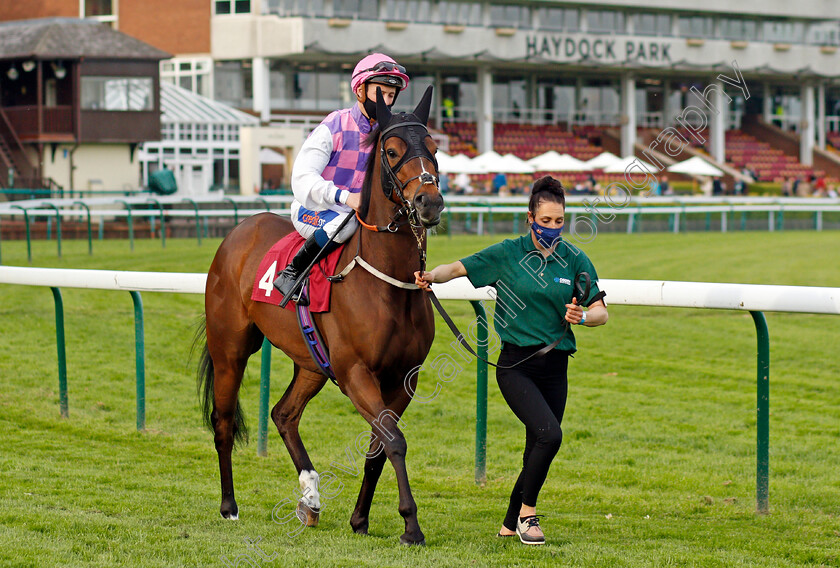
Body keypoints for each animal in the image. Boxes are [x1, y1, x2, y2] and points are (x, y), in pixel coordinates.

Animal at [196, 85, 442, 544]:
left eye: (434, 148)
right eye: (393, 150)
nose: (429, 202)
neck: (387, 283)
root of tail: (238, 231)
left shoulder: (405, 377)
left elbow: (379, 447)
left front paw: (360, 519)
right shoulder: (356, 372)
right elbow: (395, 441)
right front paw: (411, 524)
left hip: (311, 361)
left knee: (283, 414)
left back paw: (309, 497)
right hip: (230, 349)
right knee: (223, 422)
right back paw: (229, 506)